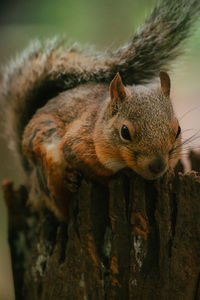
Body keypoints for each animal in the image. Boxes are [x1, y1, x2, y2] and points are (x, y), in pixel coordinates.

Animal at [0, 0, 199, 220]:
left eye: (178, 130)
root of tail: (31, 182)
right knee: (60, 206)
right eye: (124, 132)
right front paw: (121, 174)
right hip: (46, 164)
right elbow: (98, 172)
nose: (157, 166)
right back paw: (69, 182)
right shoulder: (78, 145)